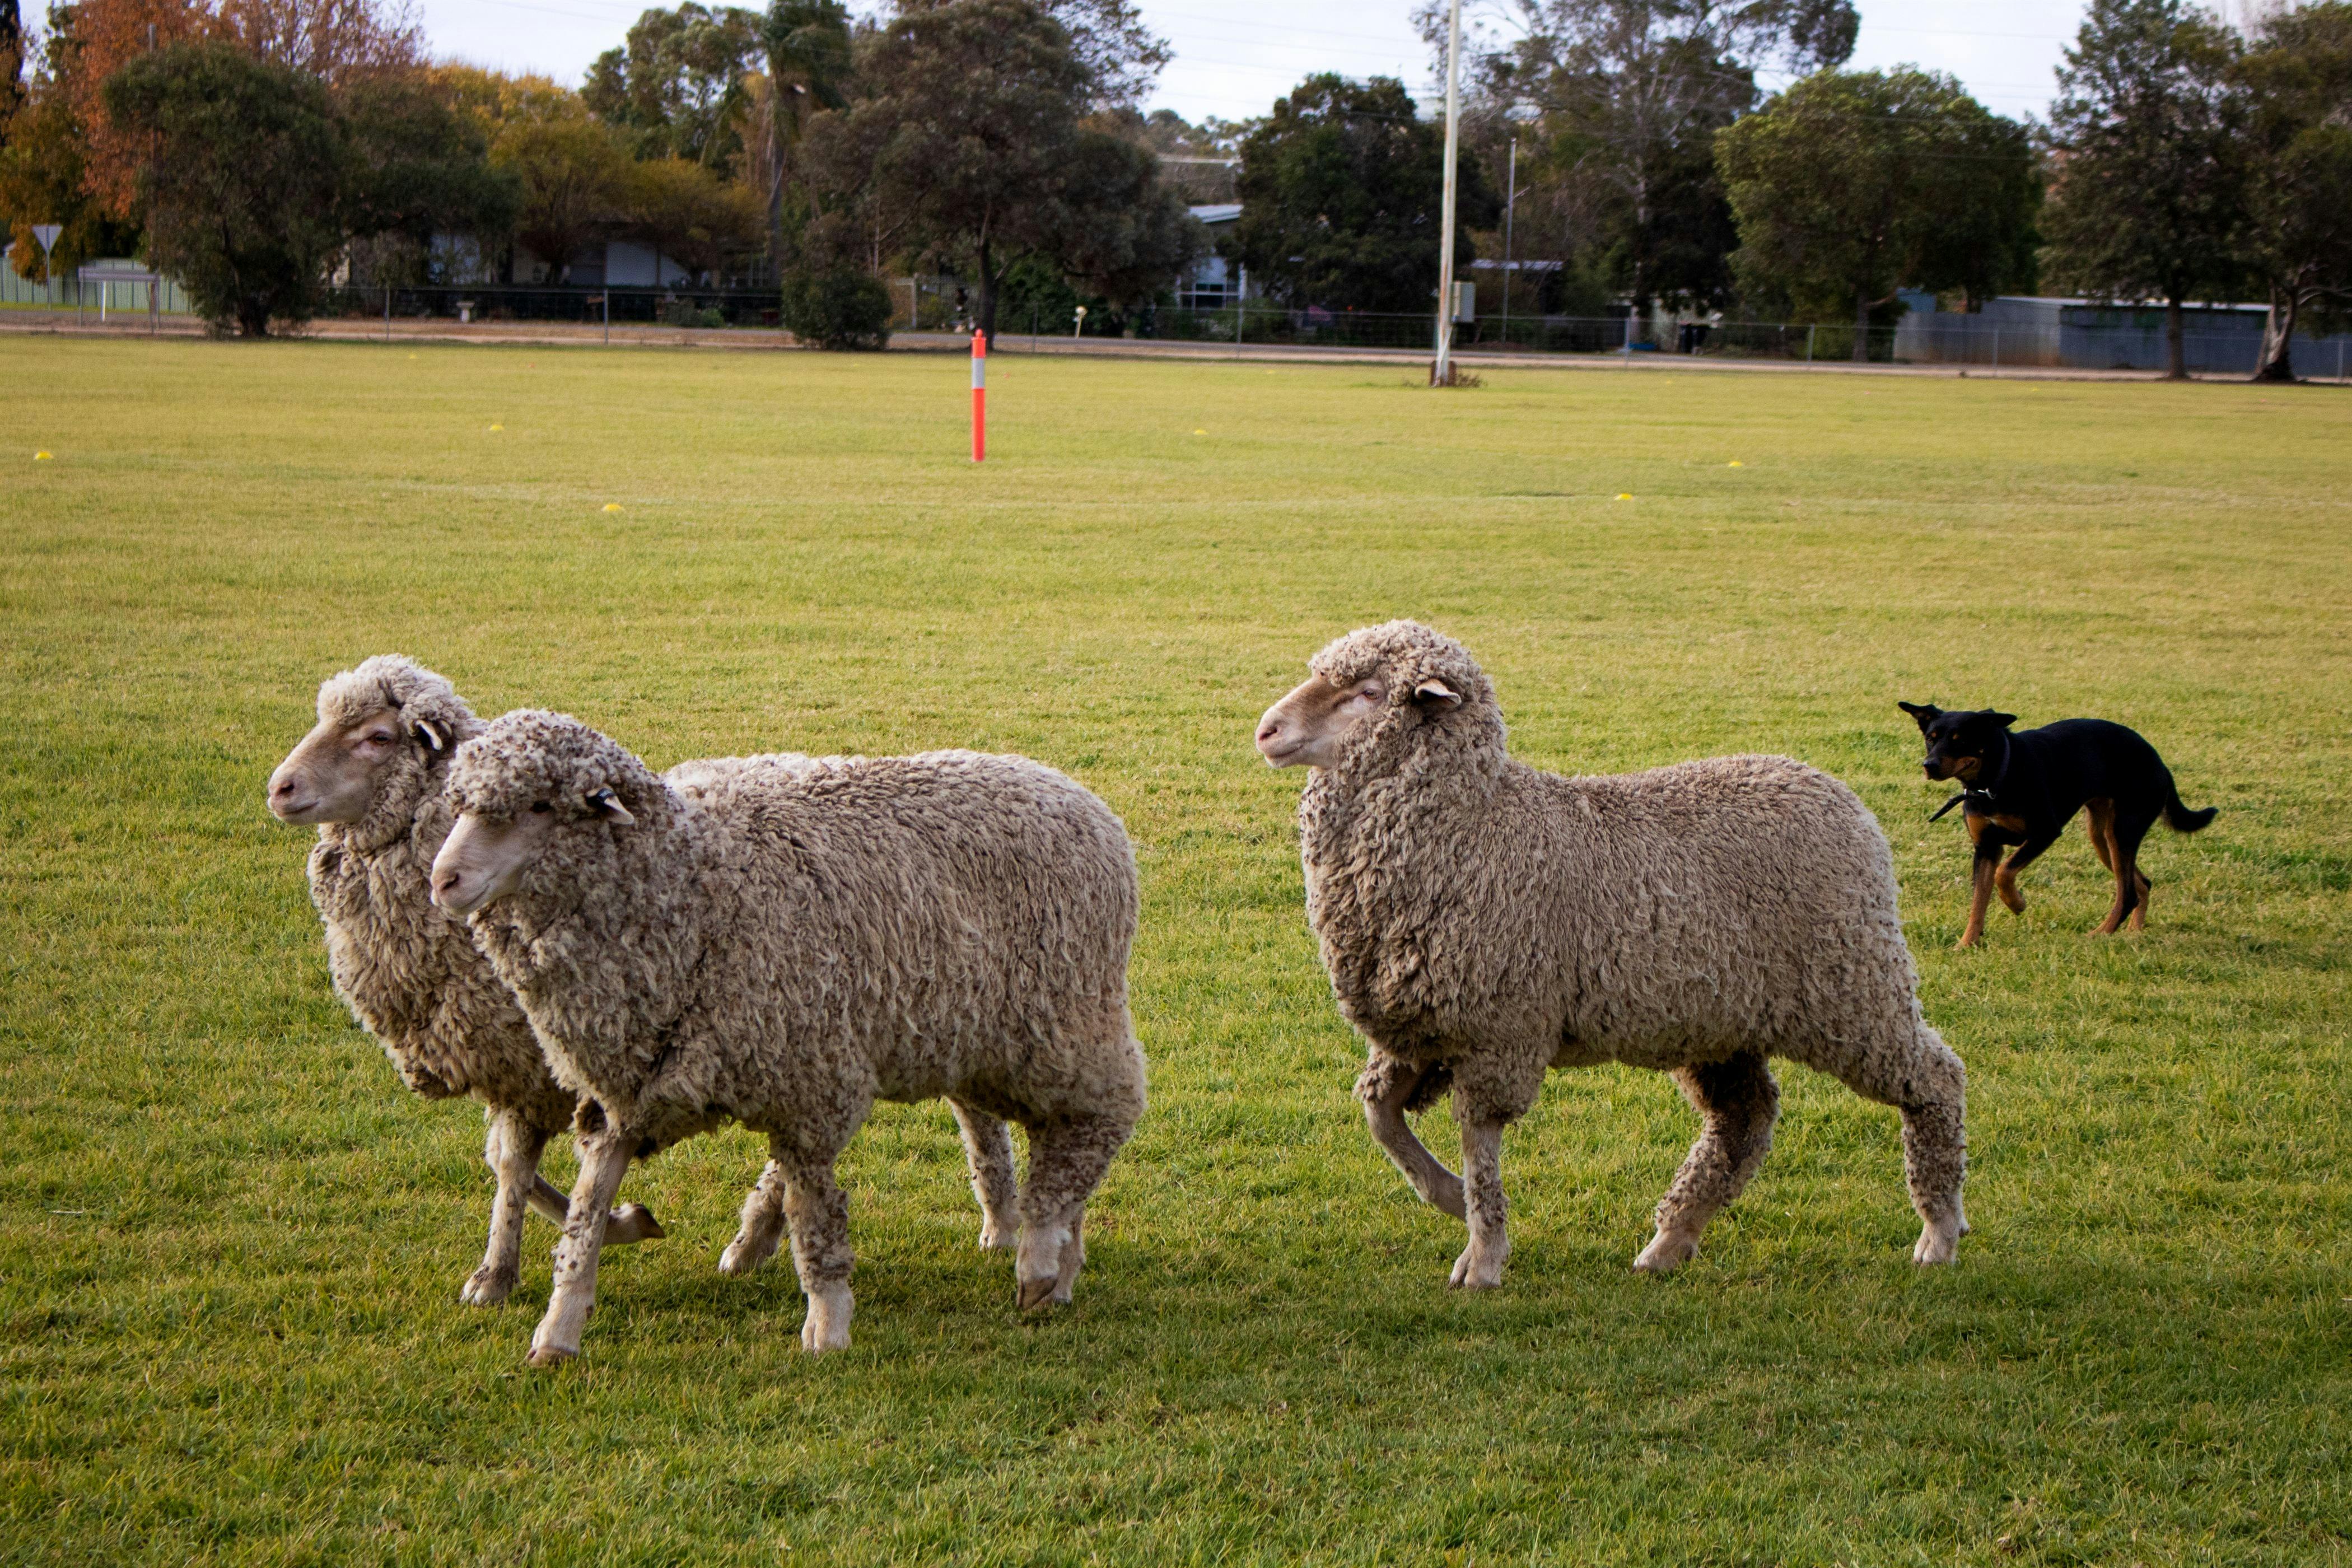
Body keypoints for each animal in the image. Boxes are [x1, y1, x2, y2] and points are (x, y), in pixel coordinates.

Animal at [265, 657, 664, 1306]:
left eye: (379, 737)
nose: (281, 788)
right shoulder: (509, 1068)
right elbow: (503, 1161)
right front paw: (616, 1223)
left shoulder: (529, 1066)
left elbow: (513, 1165)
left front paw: (497, 1273)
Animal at [426, 711, 1147, 1364]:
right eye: (458, 806)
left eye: (540, 805)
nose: (442, 879)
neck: (693, 890)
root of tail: (1079, 797)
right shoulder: (627, 1091)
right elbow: (586, 1210)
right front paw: (558, 1328)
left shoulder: (810, 1088)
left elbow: (814, 1214)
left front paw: (827, 1325)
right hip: (985, 1043)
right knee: (1060, 1140)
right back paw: (1061, 1263)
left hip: (1068, 1023)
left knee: (1102, 1118)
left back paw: (1041, 1257)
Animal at [1254, 621, 1967, 1288]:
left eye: (1369, 693)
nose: (1267, 730)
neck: (1475, 824)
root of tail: (1835, 792)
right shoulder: (1421, 1026)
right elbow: (1380, 1116)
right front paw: (1450, 1198)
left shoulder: (1498, 1032)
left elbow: (1479, 1143)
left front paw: (1483, 1254)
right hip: (1722, 1021)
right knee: (1744, 1120)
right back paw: (1669, 1243)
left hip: (1851, 986)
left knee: (1937, 1077)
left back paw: (1939, 1230)